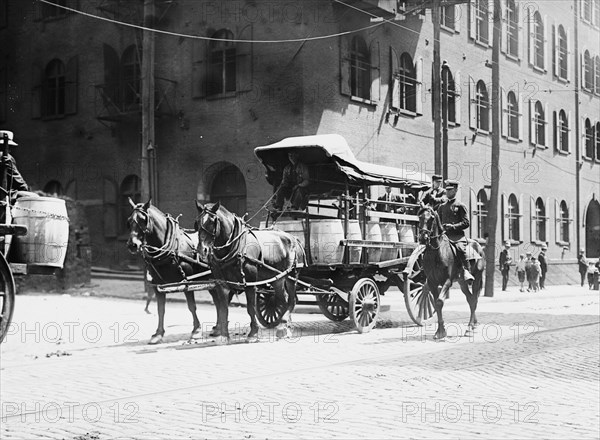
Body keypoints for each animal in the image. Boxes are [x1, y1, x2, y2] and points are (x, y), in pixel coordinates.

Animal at [126, 198, 213, 346]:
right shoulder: (158, 285)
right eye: (128, 220)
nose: (133, 245)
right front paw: (158, 334)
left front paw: (196, 331)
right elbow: (161, 309)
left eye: (143, 220)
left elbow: (191, 306)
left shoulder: (187, 282)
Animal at [196, 201, 302, 342]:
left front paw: (253, 333)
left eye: (212, 221)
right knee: (283, 300)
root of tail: (294, 237)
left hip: (291, 276)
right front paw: (223, 336)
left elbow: (251, 308)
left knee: (291, 300)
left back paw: (285, 326)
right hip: (277, 278)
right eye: (197, 222)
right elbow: (223, 309)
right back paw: (283, 325)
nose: (202, 250)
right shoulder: (221, 284)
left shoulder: (250, 283)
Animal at [420, 205, 486, 338]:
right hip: (462, 282)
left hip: (477, 279)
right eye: (420, 217)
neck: (436, 251)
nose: (423, 237)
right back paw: (473, 325)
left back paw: (470, 328)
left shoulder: (447, 281)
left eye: (431, 218)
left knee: (474, 300)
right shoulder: (432, 282)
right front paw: (439, 331)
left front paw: (441, 331)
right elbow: (436, 305)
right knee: (470, 299)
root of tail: (479, 246)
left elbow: (439, 302)